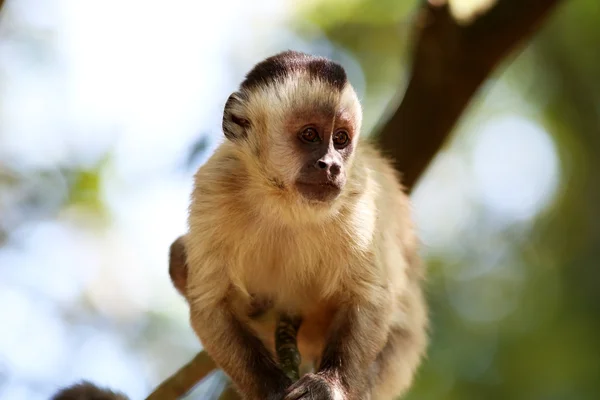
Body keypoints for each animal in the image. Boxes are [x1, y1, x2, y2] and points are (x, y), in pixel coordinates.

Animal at [180, 50, 428, 400]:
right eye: (310, 135)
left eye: (340, 139)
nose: (332, 165)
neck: (284, 201)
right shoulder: (213, 184)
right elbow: (211, 304)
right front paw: (270, 389)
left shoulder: (357, 195)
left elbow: (370, 298)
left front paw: (328, 386)